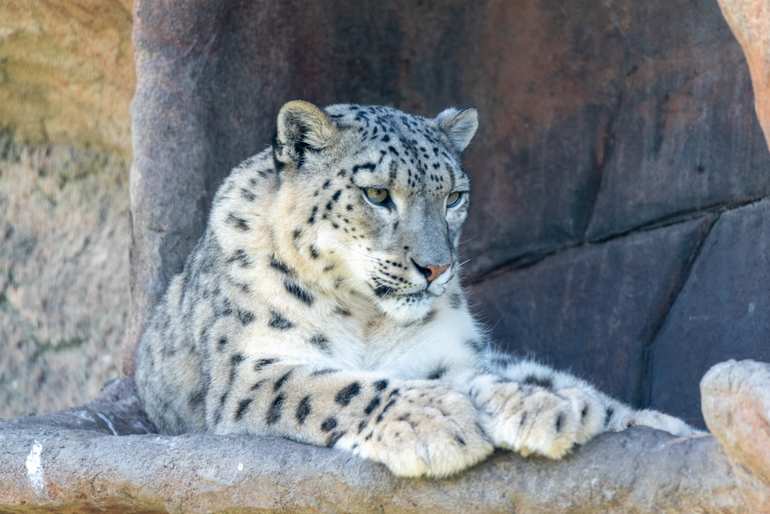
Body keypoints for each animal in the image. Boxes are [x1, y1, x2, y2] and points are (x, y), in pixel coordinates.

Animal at [135, 100, 699, 478]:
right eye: (377, 194)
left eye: (454, 196)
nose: (436, 267)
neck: (364, 317)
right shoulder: (252, 370)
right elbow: (338, 386)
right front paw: (434, 421)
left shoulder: (445, 353)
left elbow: (479, 375)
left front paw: (542, 405)